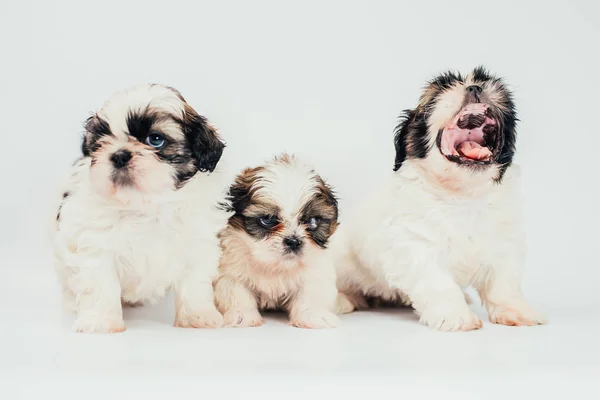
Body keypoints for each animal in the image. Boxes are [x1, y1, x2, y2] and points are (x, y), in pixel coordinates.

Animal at [52, 83, 231, 332]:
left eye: (155, 139)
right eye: (100, 142)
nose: (119, 154)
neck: (144, 204)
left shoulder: (196, 244)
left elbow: (194, 283)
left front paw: (197, 316)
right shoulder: (95, 247)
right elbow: (99, 284)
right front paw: (100, 321)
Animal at [216, 154, 340, 328]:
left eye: (313, 222)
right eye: (268, 219)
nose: (293, 241)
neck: (275, 266)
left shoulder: (315, 272)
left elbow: (310, 292)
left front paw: (312, 315)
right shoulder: (232, 272)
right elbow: (237, 291)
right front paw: (242, 315)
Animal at [336, 68, 548, 332]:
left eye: (483, 79)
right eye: (439, 92)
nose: (474, 87)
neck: (463, 195)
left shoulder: (504, 243)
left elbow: (504, 283)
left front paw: (516, 310)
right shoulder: (417, 245)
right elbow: (438, 283)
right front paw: (456, 316)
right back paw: (341, 300)